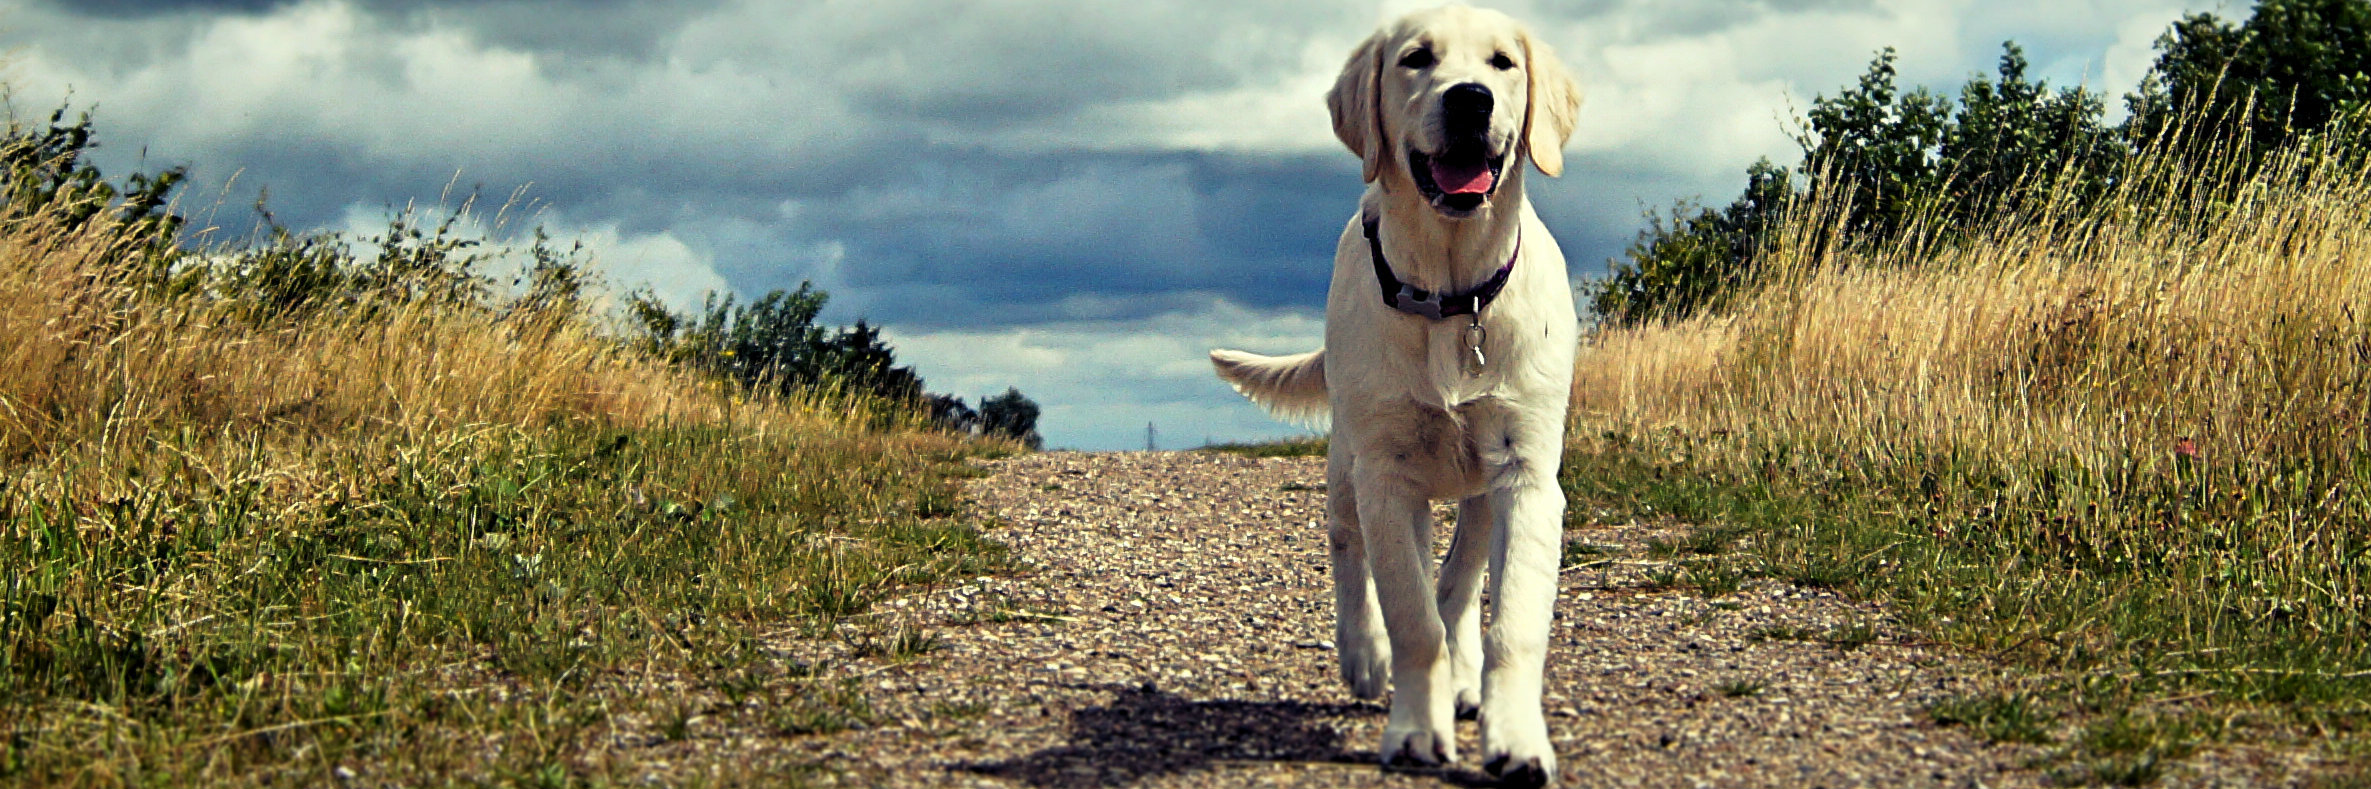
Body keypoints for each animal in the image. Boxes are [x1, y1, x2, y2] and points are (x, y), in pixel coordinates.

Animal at [1213, 6, 1583, 786]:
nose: (1469, 100)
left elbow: (1508, 619)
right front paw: (1415, 729)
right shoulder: (1385, 475)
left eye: (1503, 63)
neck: (1450, 294)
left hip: (1475, 490)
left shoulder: (1527, 475)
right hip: (1347, 466)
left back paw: (1463, 680)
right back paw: (1363, 654)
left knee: (1461, 578)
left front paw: (1515, 739)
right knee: (1351, 551)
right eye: (1416, 58)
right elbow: (1412, 616)